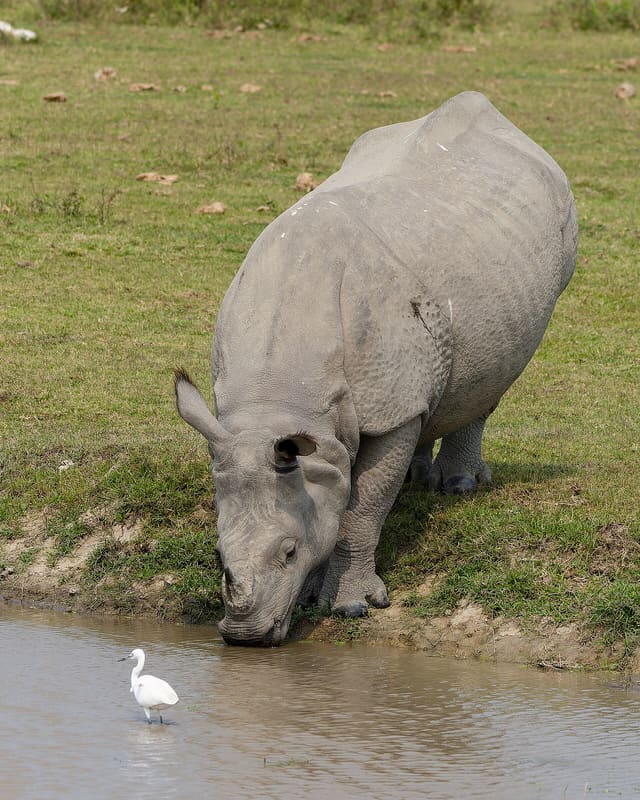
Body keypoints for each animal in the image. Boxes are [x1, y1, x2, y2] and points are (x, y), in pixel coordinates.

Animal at [175, 91, 577, 646]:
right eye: (216, 556)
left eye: (289, 552)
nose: (244, 636)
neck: (281, 401)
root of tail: (504, 121)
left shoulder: (386, 412)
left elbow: (362, 507)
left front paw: (349, 606)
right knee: (433, 387)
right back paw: (417, 476)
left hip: (554, 238)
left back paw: (458, 485)